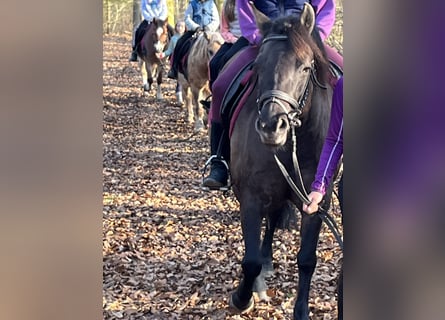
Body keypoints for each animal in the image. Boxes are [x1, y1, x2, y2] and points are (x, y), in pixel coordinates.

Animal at [227, 3, 334, 318]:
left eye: (305, 67)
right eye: (258, 66)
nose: (271, 126)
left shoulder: (317, 203)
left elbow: (307, 259)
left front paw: (301, 310)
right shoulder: (250, 196)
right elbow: (249, 260)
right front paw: (243, 297)